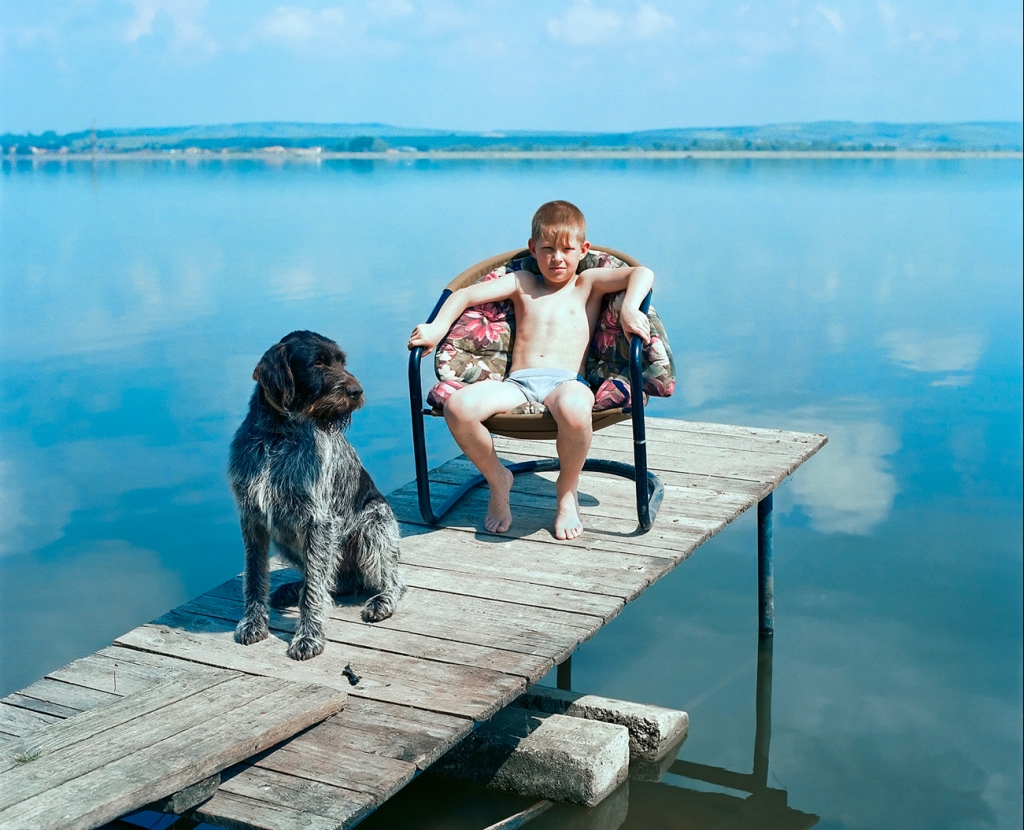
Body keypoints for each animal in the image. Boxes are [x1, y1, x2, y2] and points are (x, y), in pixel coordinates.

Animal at [231, 331, 403, 663]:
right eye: (318, 364)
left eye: (341, 362)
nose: (357, 391)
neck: (278, 435)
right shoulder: (252, 518)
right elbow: (255, 577)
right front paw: (253, 622)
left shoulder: (318, 522)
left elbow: (314, 589)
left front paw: (309, 636)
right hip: (287, 540)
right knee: (334, 580)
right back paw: (291, 588)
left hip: (374, 525)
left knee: (392, 581)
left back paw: (382, 601)